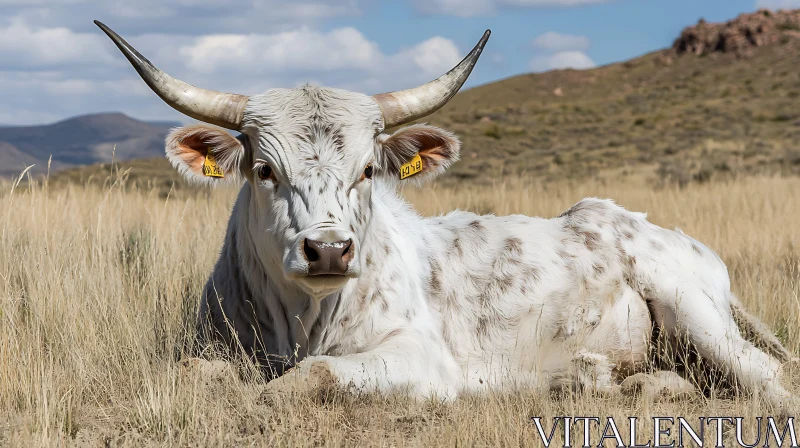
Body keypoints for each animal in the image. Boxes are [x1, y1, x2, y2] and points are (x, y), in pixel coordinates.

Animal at [97, 20, 796, 412]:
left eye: (368, 169)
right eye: (264, 169)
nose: (329, 251)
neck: (299, 320)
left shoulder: (418, 356)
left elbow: (309, 379)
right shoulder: (207, 344)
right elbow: (197, 372)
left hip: (694, 309)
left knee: (768, 380)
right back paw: (604, 382)